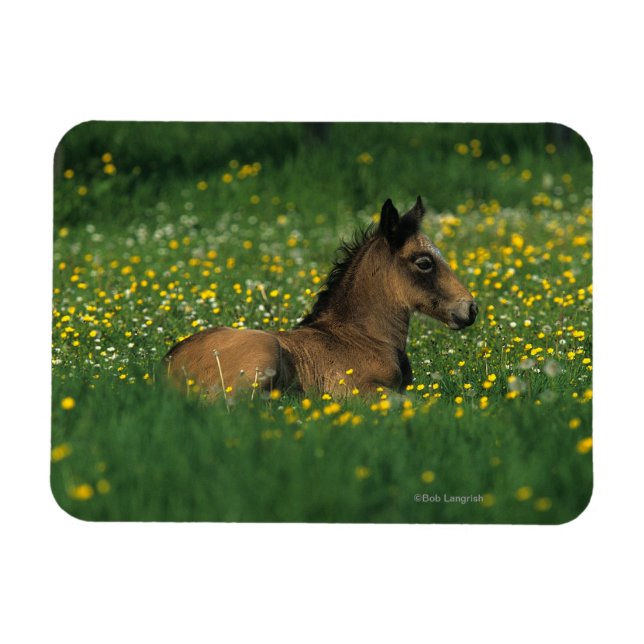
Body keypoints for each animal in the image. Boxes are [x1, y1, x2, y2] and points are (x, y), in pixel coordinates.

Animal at [164, 196, 477, 398]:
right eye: (424, 262)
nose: (471, 308)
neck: (363, 336)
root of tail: (166, 367)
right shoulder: (357, 390)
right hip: (263, 352)